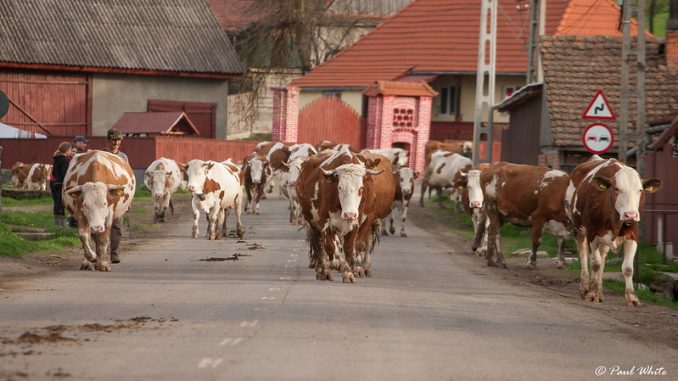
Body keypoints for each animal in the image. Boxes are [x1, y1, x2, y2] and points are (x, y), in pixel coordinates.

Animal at [298, 147, 388, 280]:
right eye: (339, 187)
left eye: (361, 188)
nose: (349, 214)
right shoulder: (324, 222)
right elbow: (330, 246)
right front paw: (336, 264)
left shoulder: (358, 222)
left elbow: (351, 247)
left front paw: (349, 273)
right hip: (313, 222)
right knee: (320, 244)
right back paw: (323, 271)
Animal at [568, 155, 664, 306]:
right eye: (616, 188)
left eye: (640, 190)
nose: (631, 215)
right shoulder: (592, 234)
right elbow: (595, 263)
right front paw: (592, 293)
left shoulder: (632, 236)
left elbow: (628, 268)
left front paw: (632, 298)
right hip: (578, 230)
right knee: (583, 253)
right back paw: (585, 288)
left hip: (603, 240)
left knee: (602, 257)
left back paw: (599, 291)